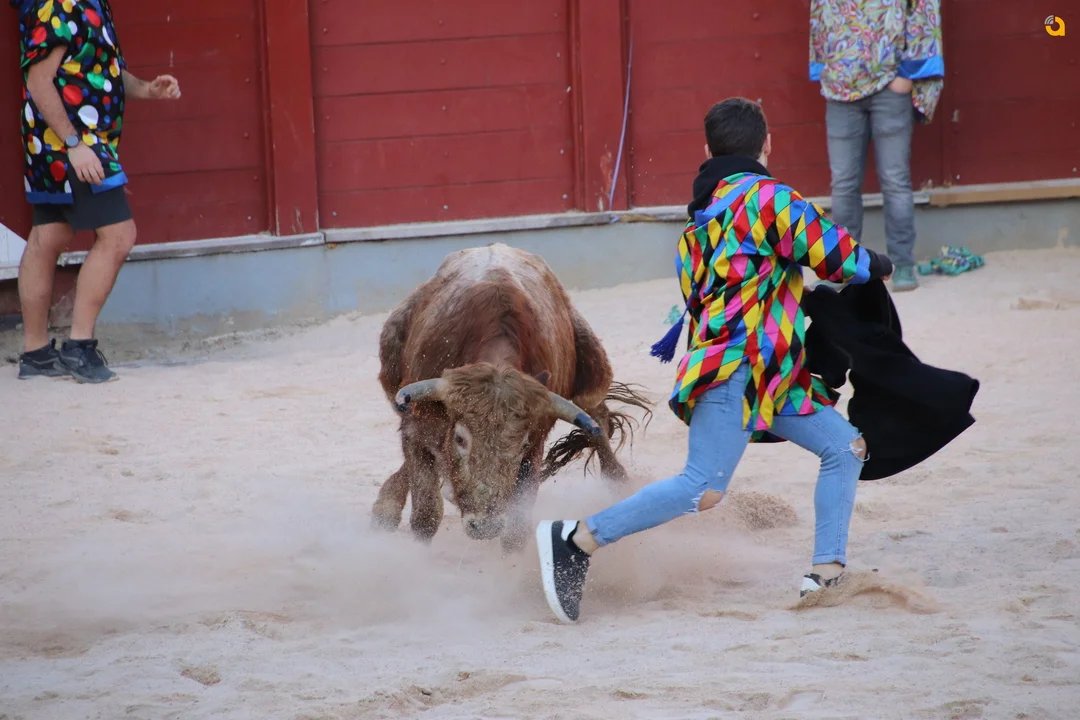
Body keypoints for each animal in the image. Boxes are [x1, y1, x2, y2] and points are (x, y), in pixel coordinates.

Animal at [372, 243, 651, 553]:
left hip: (594, 371)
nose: (485, 526)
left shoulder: (533, 449)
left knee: (597, 420)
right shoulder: (416, 429)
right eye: (460, 439)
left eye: (521, 444)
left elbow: (516, 530)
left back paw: (619, 484)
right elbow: (426, 513)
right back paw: (386, 508)